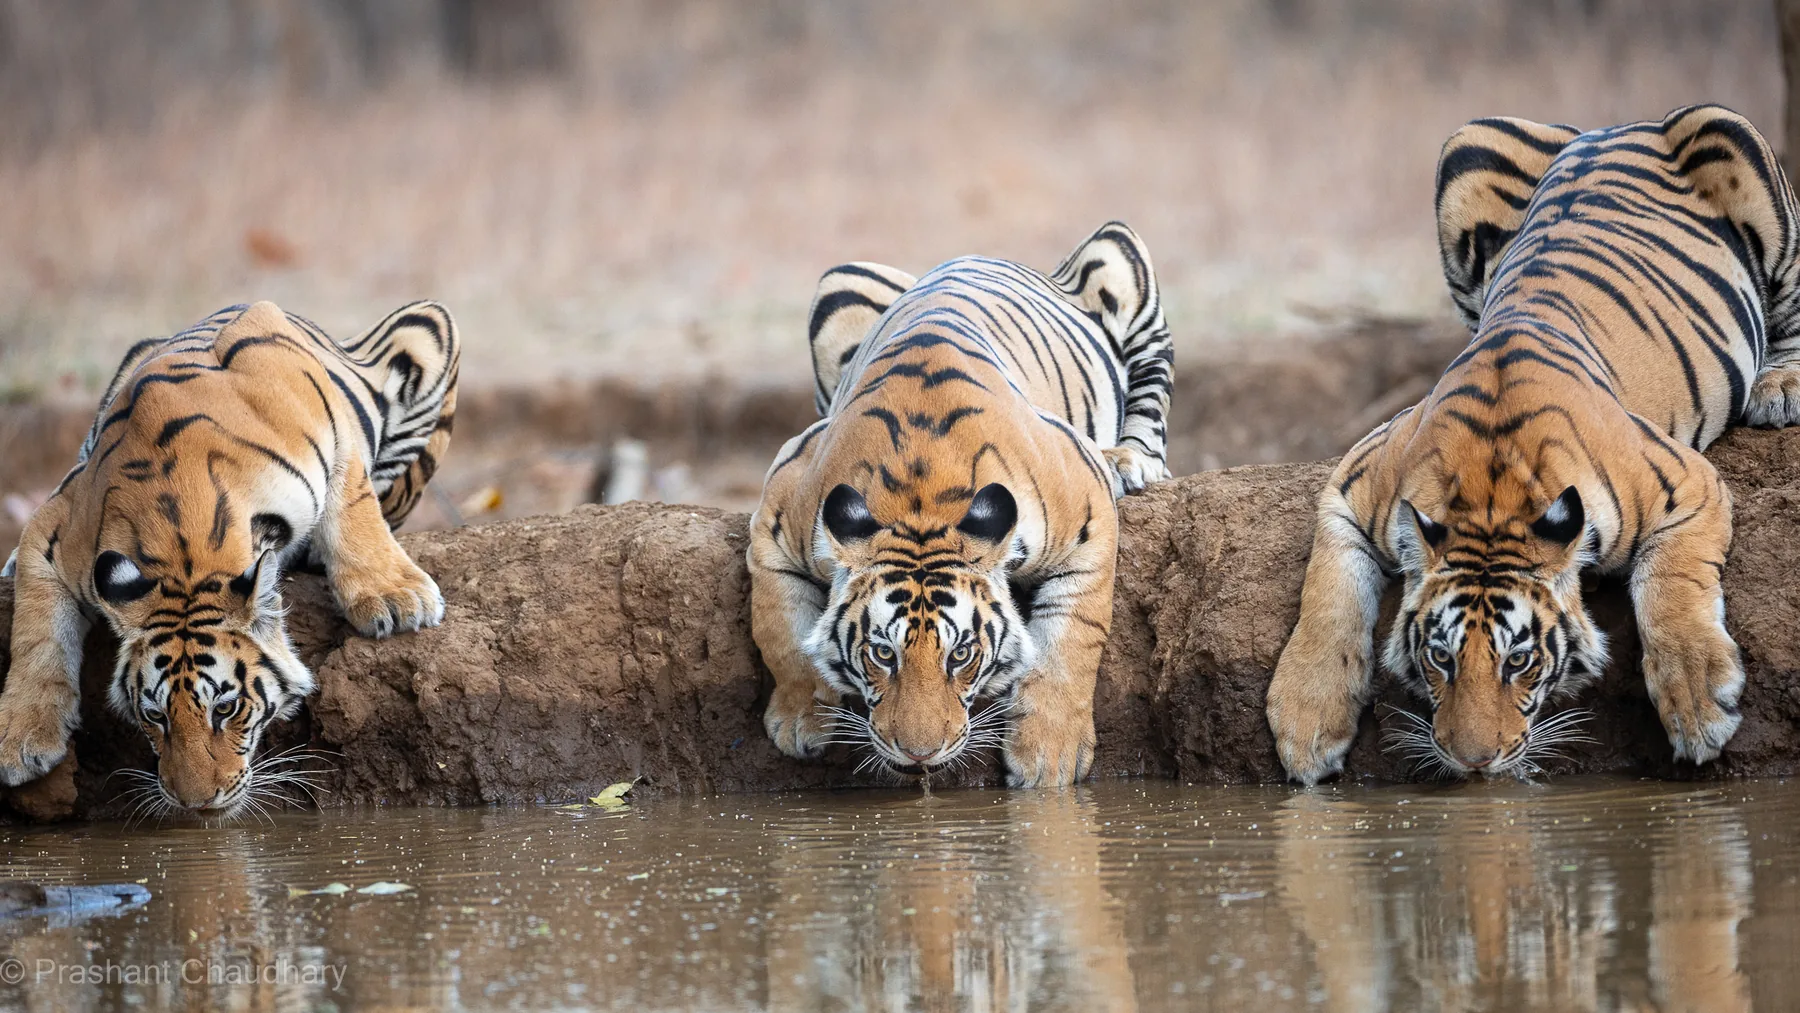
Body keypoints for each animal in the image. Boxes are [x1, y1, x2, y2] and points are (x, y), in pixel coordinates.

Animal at [0, 299, 459, 815]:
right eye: (154, 715)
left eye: (226, 708)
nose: (196, 803)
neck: (183, 552)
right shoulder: (56, 524)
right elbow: (37, 631)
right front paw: (22, 738)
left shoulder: (332, 429)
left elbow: (353, 500)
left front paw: (394, 598)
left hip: (427, 329)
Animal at [749, 221, 1173, 787]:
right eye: (882, 653)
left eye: (962, 655)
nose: (919, 754)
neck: (920, 504)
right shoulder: (778, 509)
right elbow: (778, 627)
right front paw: (801, 722)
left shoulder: (1088, 513)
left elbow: (1073, 637)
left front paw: (1048, 759)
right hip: (844, 280)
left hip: (1118, 254)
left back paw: (1130, 460)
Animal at [1266, 105, 1800, 783]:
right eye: (1440, 658)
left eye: (1518, 661)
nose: (1472, 761)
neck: (1491, 496)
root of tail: (1615, 125)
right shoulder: (1352, 484)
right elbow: (1327, 593)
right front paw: (1306, 722)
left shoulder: (1687, 482)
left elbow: (1673, 585)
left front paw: (1701, 702)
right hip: (1469, 145)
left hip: (1728, 136)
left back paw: (1781, 387)